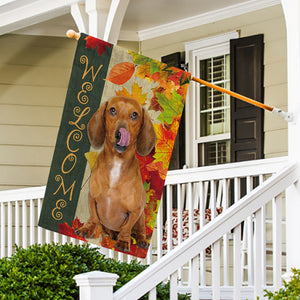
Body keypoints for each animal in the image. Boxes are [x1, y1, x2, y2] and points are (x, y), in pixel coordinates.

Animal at [75, 95, 157, 251]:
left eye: (134, 115)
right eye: (112, 110)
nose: (120, 134)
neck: (117, 162)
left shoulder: (135, 210)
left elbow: (126, 228)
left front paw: (124, 241)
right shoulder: (92, 197)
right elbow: (94, 217)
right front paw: (87, 229)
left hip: (141, 218)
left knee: (139, 231)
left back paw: (140, 240)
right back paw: (111, 234)